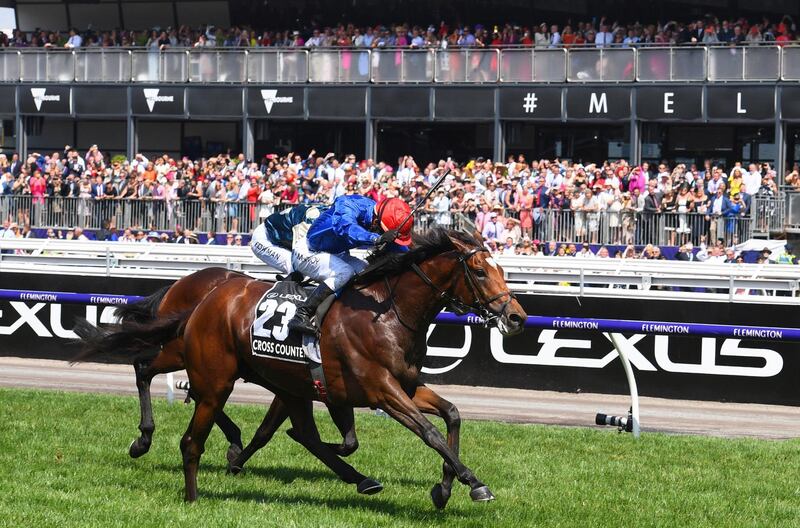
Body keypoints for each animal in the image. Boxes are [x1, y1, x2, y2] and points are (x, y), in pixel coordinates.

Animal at [178, 230, 528, 508]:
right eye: (480, 272)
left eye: (501, 269)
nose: (517, 317)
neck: (389, 314)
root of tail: (209, 296)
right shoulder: (382, 389)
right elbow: (429, 432)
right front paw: (473, 482)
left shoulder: (406, 384)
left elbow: (452, 414)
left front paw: (444, 489)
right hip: (217, 383)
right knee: (196, 436)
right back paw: (197, 493)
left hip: (287, 385)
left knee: (302, 433)